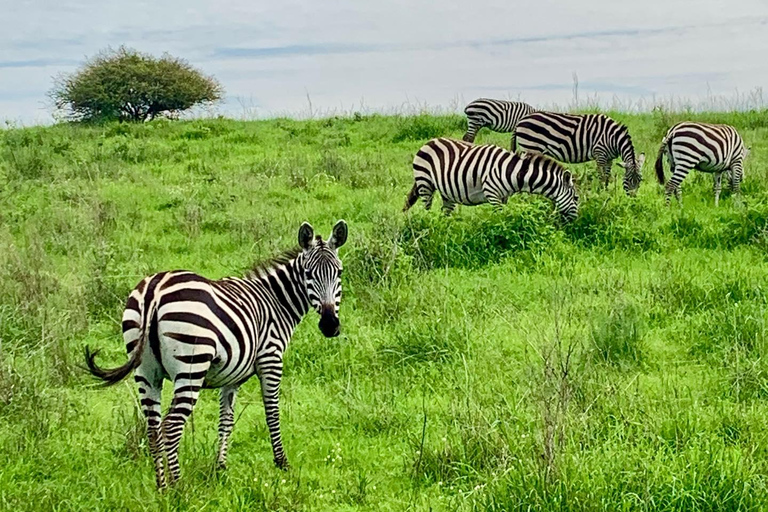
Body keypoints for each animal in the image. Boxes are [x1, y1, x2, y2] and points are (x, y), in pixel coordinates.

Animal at [85, 222, 348, 490]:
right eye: (308, 273)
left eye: (338, 273)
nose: (330, 325)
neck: (275, 301)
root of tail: (153, 290)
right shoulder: (271, 359)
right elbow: (272, 412)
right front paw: (282, 463)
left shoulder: (232, 376)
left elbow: (226, 419)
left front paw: (220, 467)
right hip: (191, 366)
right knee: (171, 426)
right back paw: (178, 487)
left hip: (146, 372)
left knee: (153, 428)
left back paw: (162, 487)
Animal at [404, 137, 580, 221]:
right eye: (577, 198)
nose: (575, 220)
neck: (514, 172)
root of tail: (429, 142)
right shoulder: (492, 193)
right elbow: (500, 217)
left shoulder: (504, 197)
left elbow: (506, 216)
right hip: (425, 183)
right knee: (427, 209)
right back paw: (431, 224)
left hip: (447, 191)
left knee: (444, 212)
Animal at [512, 112, 644, 196]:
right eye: (628, 179)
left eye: (640, 180)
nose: (633, 199)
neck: (613, 138)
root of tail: (520, 120)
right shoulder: (600, 154)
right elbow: (601, 176)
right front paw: (601, 193)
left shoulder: (609, 158)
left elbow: (607, 176)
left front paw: (607, 193)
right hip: (530, 147)